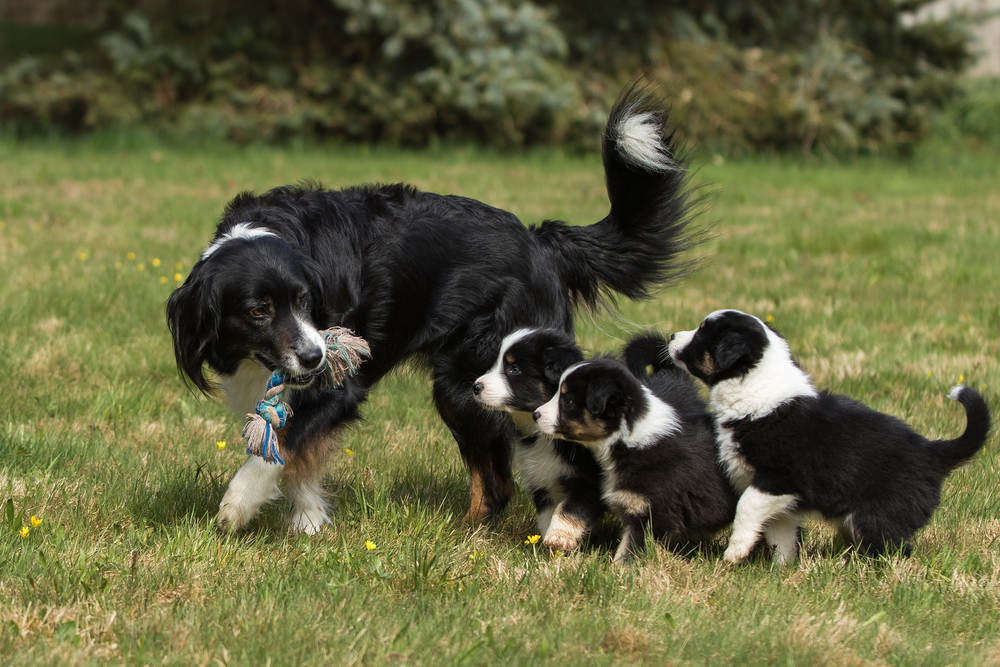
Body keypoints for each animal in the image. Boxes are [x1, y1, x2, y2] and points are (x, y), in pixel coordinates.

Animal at [472, 328, 604, 552]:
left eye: (514, 369)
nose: (475, 387)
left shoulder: (591, 478)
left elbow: (571, 508)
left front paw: (559, 538)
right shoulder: (543, 475)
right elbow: (546, 514)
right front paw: (543, 546)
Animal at [536, 334, 740, 564]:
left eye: (568, 401)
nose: (535, 415)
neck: (631, 439)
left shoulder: (653, 513)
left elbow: (630, 549)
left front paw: (621, 569)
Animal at [668, 310, 988, 568]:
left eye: (702, 331)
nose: (671, 335)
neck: (754, 388)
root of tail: (933, 451)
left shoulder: (778, 480)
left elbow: (746, 507)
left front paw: (735, 553)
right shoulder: (781, 499)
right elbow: (780, 534)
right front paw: (781, 570)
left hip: (882, 513)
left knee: (894, 550)